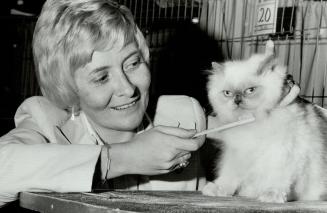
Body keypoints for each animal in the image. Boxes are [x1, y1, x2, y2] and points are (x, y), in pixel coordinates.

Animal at [204, 40, 327, 202]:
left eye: (250, 90)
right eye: (227, 93)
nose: (237, 100)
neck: (253, 124)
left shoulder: (282, 152)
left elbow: (277, 178)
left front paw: (271, 195)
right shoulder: (237, 153)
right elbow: (228, 176)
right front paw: (218, 189)